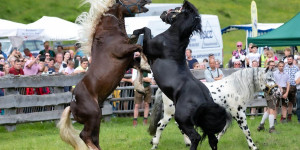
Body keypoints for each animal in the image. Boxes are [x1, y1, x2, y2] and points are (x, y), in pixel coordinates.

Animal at [57, 0, 151, 150]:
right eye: (127, 0)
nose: (147, 1)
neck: (109, 33)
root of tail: (71, 105)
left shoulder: (129, 62)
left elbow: (139, 66)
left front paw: (140, 87)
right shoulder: (123, 51)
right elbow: (139, 48)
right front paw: (146, 67)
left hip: (97, 118)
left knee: (93, 138)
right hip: (93, 114)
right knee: (85, 136)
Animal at [132, 0, 231, 149]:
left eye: (178, 8)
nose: (163, 12)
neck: (174, 39)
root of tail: (204, 102)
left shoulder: (149, 47)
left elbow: (146, 30)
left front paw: (134, 33)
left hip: (181, 118)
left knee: (195, 137)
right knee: (212, 140)